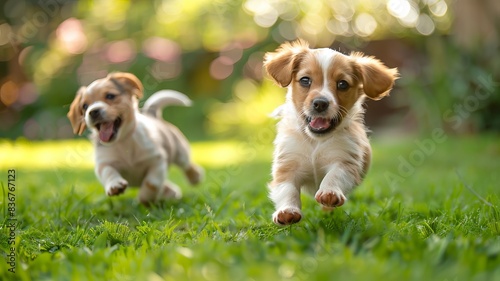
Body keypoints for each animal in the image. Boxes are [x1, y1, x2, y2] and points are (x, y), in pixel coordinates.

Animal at [67, 72, 203, 203]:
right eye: (85, 106)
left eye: (110, 96)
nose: (93, 111)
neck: (123, 141)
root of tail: (152, 115)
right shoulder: (104, 164)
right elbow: (109, 172)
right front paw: (114, 185)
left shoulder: (157, 160)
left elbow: (152, 183)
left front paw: (145, 197)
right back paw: (170, 191)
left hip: (180, 151)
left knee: (186, 164)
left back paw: (194, 177)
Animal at [266, 39, 398, 224]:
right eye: (305, 80)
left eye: (342, 84)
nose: (320, 103)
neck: (315, 140)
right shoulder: (287, 165)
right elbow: (287, 189)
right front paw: (287, 211)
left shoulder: (346, 160)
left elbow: (334, 175)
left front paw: (329, 192)